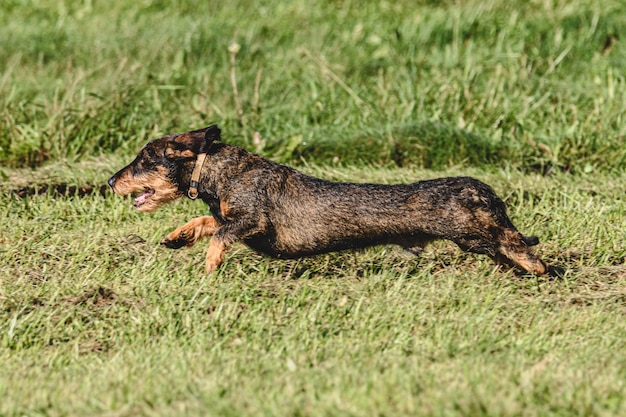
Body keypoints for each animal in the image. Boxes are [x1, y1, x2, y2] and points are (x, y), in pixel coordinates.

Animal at [109, 125, 548, 274]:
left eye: (143, 159)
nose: (111, 181)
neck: (218, 170)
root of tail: (479, 188)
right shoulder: (234, 219)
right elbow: (206, 223)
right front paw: (176, 237)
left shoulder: (253, 221)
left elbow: (219, 234)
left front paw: (210, 267)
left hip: (472, 232)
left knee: (515, 243)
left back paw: (540, 269)